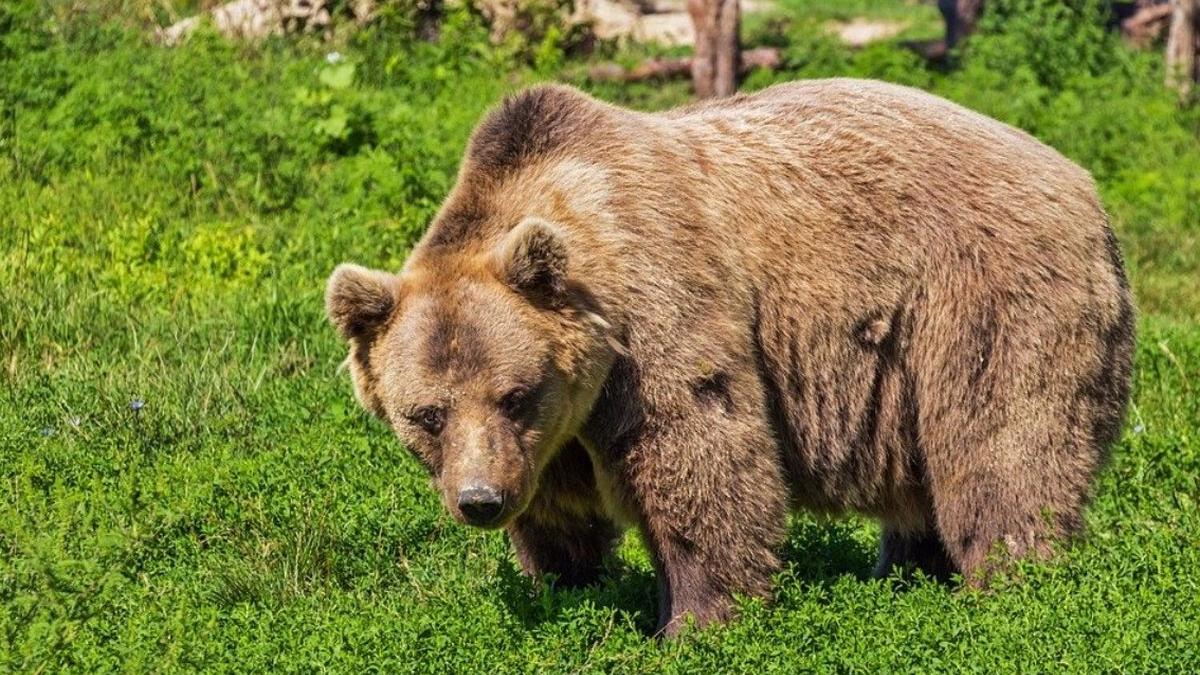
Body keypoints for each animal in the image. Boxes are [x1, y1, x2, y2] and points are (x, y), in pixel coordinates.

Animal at [326, 81, 1132, 634]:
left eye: (514, 393)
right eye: (426, 413)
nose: (480, 500)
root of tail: (1085, 185)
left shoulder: (656, 316)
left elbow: (701, 457)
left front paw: (696, 621)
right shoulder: (552, 434)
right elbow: (559, 512)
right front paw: (567, 586)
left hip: (984, 299)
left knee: (1002, 448)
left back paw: (1013, 585)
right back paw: (907, 574)